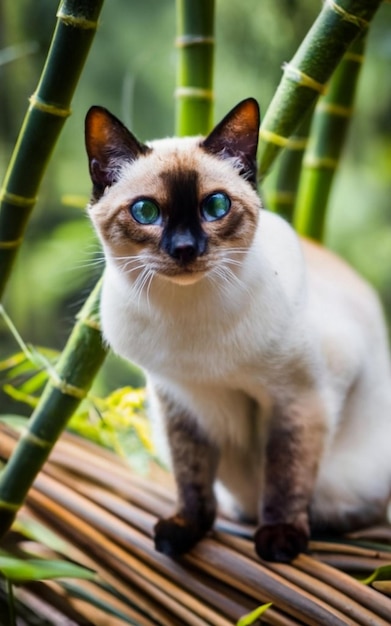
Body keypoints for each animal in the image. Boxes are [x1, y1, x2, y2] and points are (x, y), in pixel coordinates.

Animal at [85, 98, 391, 560]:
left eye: (215, 207)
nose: (185, 249)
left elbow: (285, 474)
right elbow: (191, 479)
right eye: (146, 212)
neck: (188, 319)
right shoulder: (178, 400)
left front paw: (280, 539)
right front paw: (184, 532)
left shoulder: (299, 398)